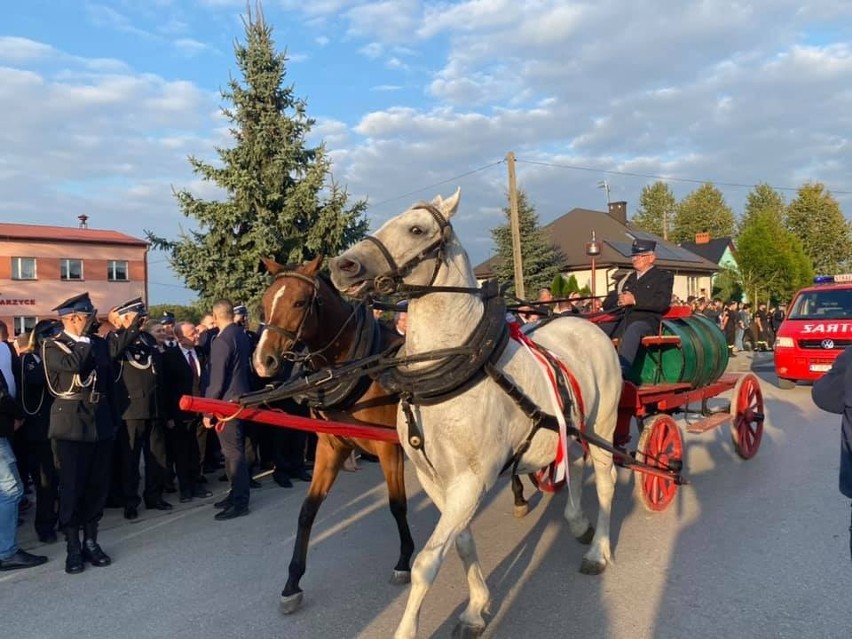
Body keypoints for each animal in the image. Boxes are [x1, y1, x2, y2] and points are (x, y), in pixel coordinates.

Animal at [251, 255, 414, 616]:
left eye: (299, 302)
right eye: (264, 304)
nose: (262, 361)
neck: (354, 366)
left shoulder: (388, 446)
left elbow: (397, 504)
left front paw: (404, 560)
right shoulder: (330, 446)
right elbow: (307, 510)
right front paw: (292, 583)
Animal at [328, 190, 620, 639]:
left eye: (416, 229)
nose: (342, 267)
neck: (449, 367)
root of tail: (584, 322)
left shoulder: (471, 480)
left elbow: (425, 563)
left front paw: (411, 627)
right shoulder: (435, 481)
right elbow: (461, 543)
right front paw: (477, 606)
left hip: (601, 427)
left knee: (606, 481)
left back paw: (598, 550)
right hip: (566, 427)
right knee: (571, 465)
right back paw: (576, 521)